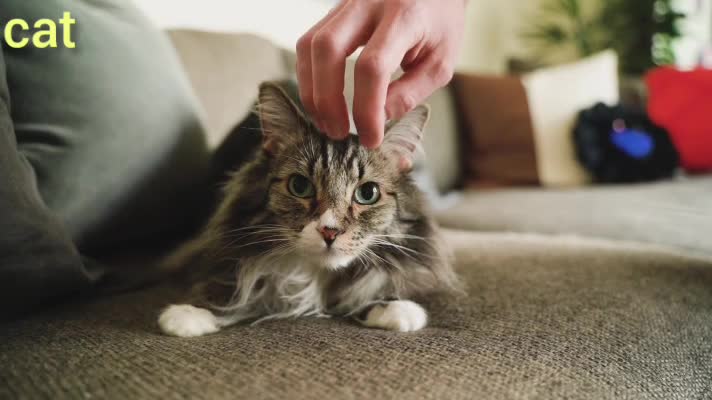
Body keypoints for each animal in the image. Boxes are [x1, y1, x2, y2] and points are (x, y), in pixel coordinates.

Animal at [157, 82, 456, 338]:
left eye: (367, 193)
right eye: (300, 186)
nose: (329, 231)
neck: (316, 274)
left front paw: (397, 309)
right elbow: (227, 284)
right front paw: (189, 314)